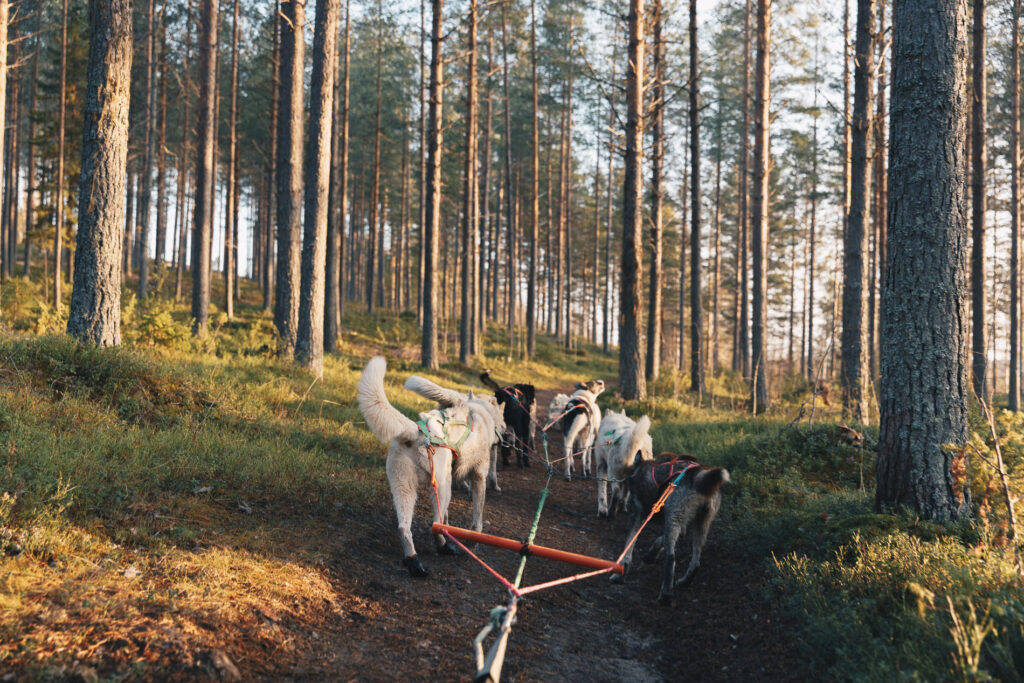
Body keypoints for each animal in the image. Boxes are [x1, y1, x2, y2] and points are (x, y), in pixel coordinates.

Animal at [610, 454, 733, 602]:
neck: (641, 471)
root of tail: (700, 476)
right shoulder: (682, 526)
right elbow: (660, 540)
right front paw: (651, 554)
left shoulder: (637, 516)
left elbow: (628, 551)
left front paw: (619, 575)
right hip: (699, 525)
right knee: (696, 563)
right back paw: (684, 582)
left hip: (674, 521)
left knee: (671, 558)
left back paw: (666, 595)